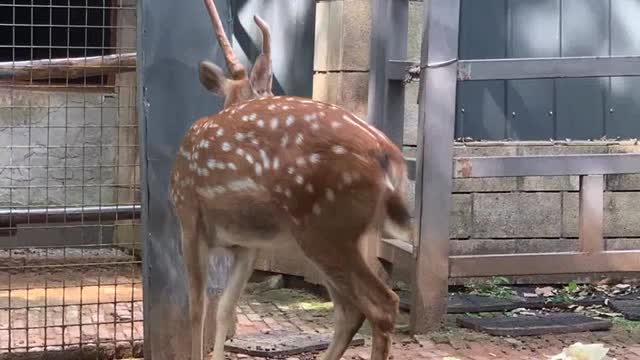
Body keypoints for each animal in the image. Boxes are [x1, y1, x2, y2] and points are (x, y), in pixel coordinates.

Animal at [169, 1, 410, 358]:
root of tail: (388, 156)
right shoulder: (247, 244)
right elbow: (225, 307)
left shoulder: (189, 217)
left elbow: (197, 308)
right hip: (329, 235)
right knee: (350, 309)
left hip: (323, 226)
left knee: (381, 304)